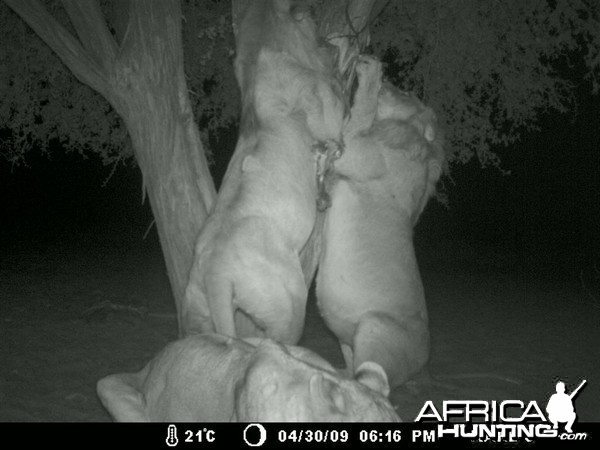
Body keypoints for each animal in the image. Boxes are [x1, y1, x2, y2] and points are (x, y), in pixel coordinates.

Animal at [316, 55, 442, 386]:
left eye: (408, 93)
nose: (390, 81)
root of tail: (425, 360)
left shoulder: (356, 149)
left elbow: (360, 113)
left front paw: (370, 70)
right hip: (347, 339)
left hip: (374, 327)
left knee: (372, 382)